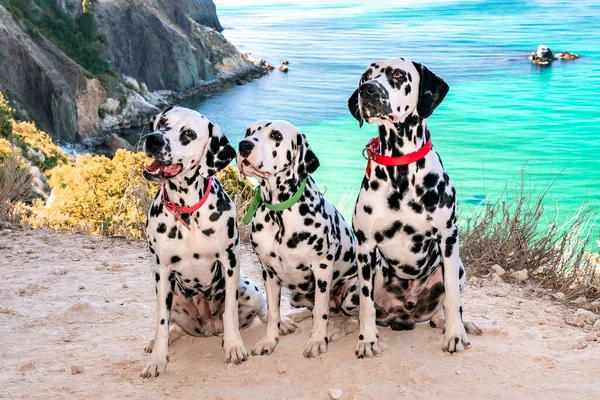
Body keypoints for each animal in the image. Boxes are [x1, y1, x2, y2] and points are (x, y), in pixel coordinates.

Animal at [140, 104, 264, 376]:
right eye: (162, 122)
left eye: (188, 134)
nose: (153, 139)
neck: (187, 212)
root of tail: (209, 328)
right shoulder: (162, 272)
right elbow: (161, 322)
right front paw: (157, 359)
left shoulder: (230, 261)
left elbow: (230, 311)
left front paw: (234, 347)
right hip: (174, 299)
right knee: (171, 327)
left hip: (249, 289)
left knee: (264, 309)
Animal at [237, 120, 358, 358]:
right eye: (248, 131)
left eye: (276, 135)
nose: (243, 145)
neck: (279, 213)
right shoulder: (268, 272)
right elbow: (273, 313)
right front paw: (270, 341)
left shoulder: (322, 268)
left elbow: (320, 311)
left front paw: (318, 341)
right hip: (296, 295)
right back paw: (296, 316)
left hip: (352, 293)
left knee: (353, 318)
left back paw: (337, 328)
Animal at [346, 57, 482, 358]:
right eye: (365, 77)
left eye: (397, 74)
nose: (367, 90)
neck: (400, 170)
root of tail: (407, 310)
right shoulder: (365, 246)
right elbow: (366, 305)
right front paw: (366, 340)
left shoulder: (448, 238)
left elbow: (453, 299)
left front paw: (455, 335)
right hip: (355, 286)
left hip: (458, 268)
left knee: (444, 308)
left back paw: (458, 324)